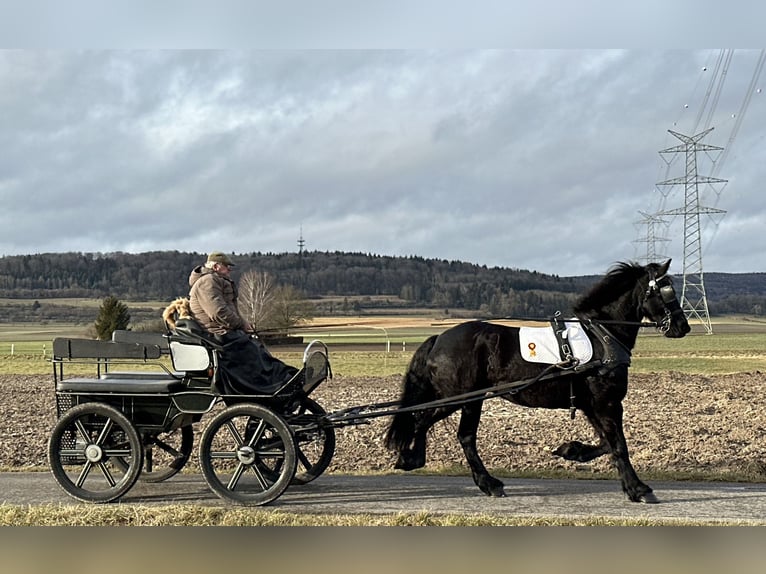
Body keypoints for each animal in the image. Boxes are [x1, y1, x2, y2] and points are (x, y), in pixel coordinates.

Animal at [388, 260, 692, 504]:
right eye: (666, 290)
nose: (683, 327)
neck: (602, 335)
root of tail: (439, 339)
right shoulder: (607, 402)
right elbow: (618, 444)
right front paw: (639, 489)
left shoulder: (592, 405)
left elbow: (606, 443)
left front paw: (572, 450)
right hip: (462, 398)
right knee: (433, 425)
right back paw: (423, 461)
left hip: (468, 399)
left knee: (447, 430)